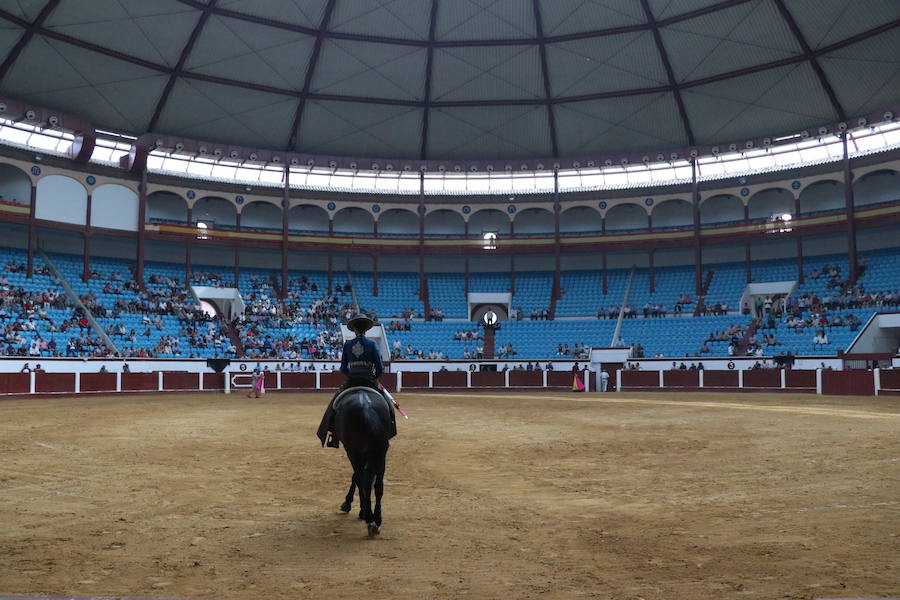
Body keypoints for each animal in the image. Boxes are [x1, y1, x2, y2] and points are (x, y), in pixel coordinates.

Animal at [330, 390, 386, 540]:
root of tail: (365, 405)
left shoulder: (354, 452)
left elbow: (357, 477)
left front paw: (350, 504)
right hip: (379, 453)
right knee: (376, 484)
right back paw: (375, 521)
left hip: (355, 452)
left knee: (363, 480)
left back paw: (370, 520)